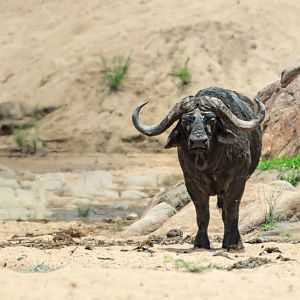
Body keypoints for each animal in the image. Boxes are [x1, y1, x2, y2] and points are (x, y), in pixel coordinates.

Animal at [132, 86, 266, 251]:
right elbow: (202, 214)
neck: (209, 164)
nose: (198, 141)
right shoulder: (191, 182)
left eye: (211, 120)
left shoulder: (238, 180)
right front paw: (201, 243)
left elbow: (232, 211)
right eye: (185, 120)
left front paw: (234, 243)